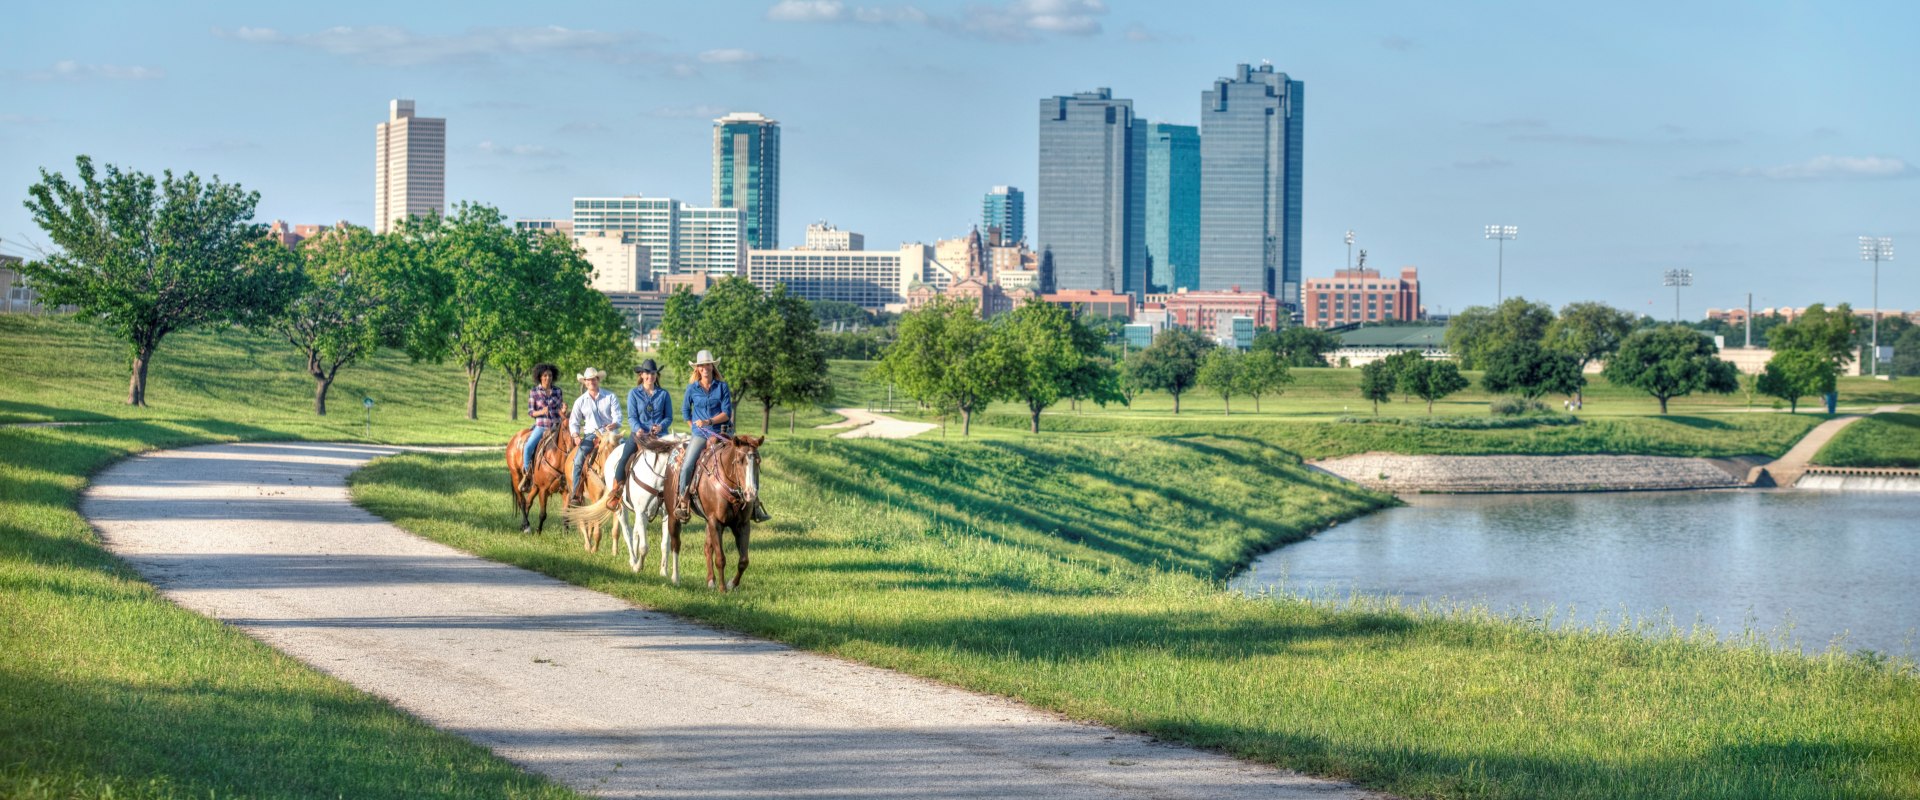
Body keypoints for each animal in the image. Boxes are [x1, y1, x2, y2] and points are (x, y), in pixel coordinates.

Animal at [668, 433, 764, 590]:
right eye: (739, 461)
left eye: (758, 461)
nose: (750, 494)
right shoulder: (716, 522)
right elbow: (720, 558)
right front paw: (722, 588)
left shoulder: (742, 525)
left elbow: (743, 561)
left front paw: (732, 584)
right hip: (673, 516)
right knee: (676, 543)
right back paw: (675, 578)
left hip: (708, 522)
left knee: (707, 548)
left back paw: (710, 581)